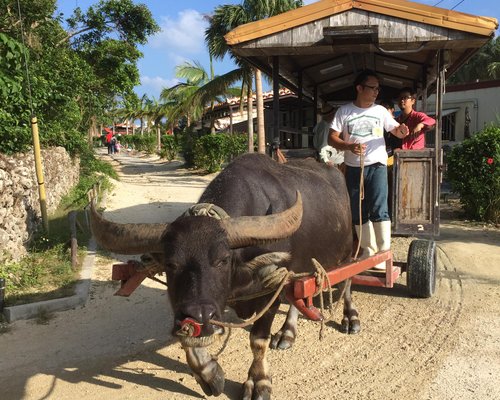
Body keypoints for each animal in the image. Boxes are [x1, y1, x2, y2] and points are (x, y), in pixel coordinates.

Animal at [90, 153, 356, 400]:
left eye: (222, 260)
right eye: (171, 264)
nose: (199, 317)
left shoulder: (270, 289)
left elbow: (258, 341)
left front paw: (258, 382)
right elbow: (189, 341)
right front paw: (210, 374)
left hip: (347, 251)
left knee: (348, 280)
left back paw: (350, 318)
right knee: (298, 294)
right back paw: (287, 333)